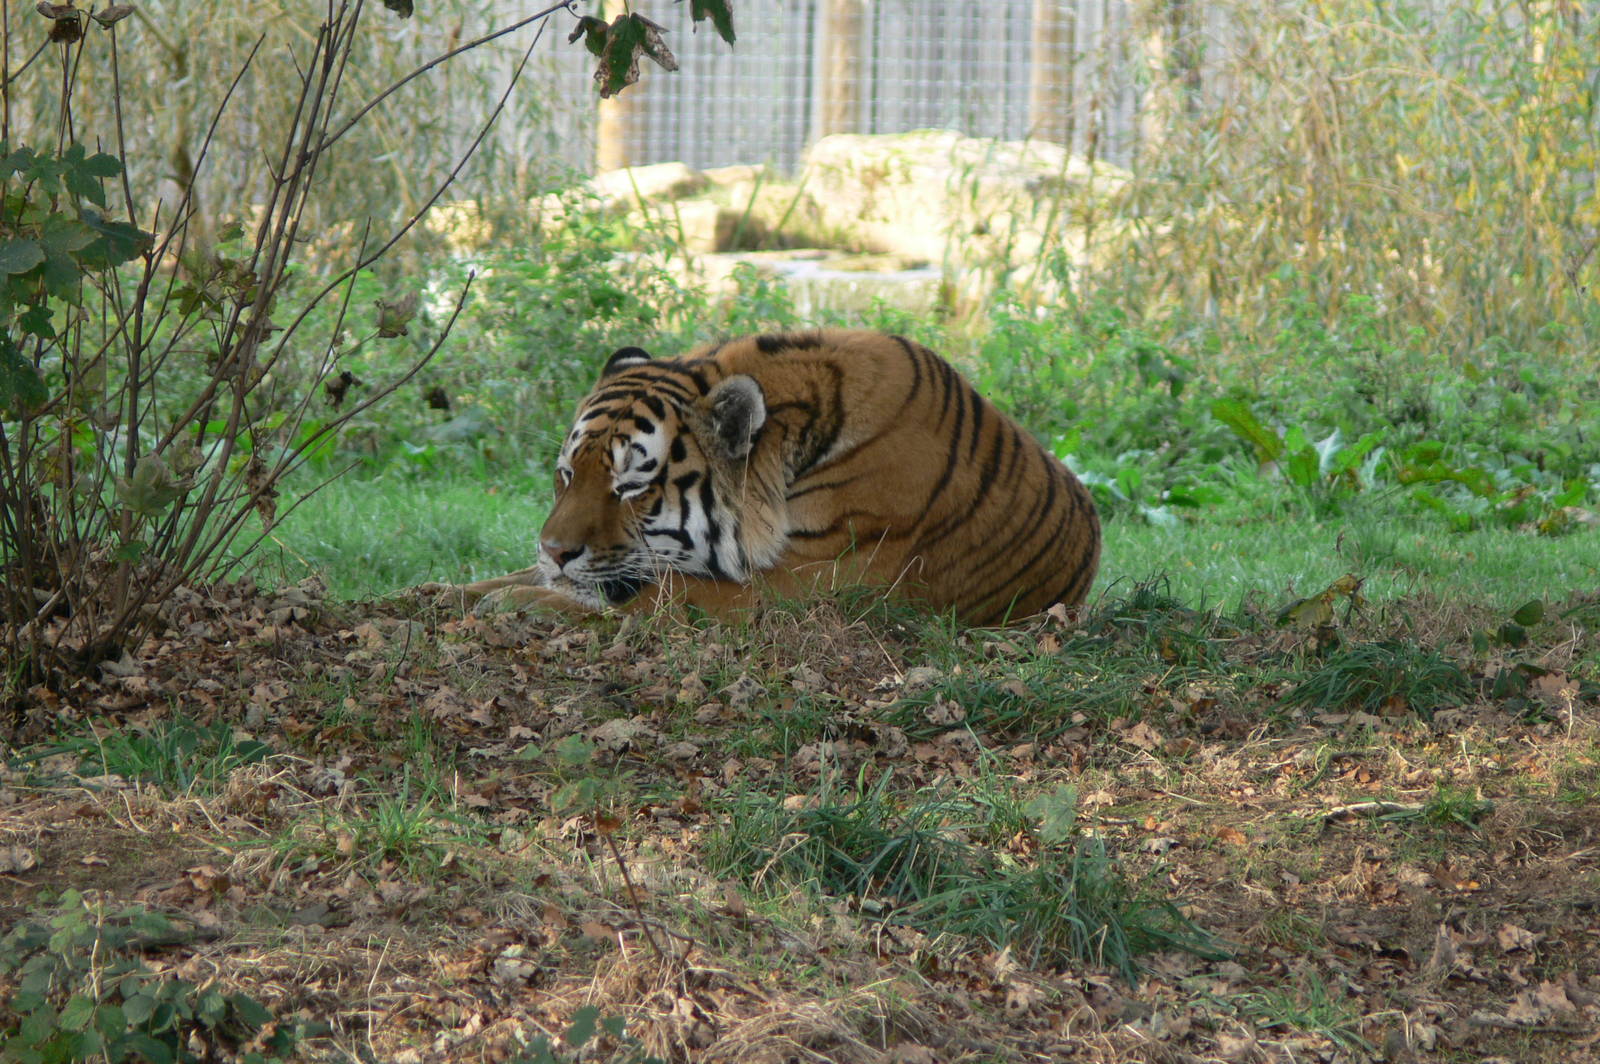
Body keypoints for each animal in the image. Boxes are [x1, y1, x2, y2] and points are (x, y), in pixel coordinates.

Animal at [440, 329, 1101, 625]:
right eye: (565, 474)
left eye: (631, 487)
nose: (553, 551)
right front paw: (445, 591)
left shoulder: (808, 584)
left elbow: (658, 594)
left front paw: (517, 601)